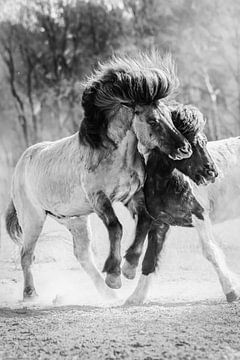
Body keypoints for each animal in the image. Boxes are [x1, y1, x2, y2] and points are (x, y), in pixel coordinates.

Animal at [4, 52, 191, 300]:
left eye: (169, 116)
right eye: (152, 120)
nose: (185, 148)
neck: (114, 155)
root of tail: (23, 162)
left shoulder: (131, 196)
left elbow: (144, 222)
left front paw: (129, 267)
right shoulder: (99, 198)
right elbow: (116, 227)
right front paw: (114, 275)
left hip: (75, 220)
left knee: (83, 256)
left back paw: (107, 295)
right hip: (33, 219)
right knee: (26, 255)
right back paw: (31, 294)